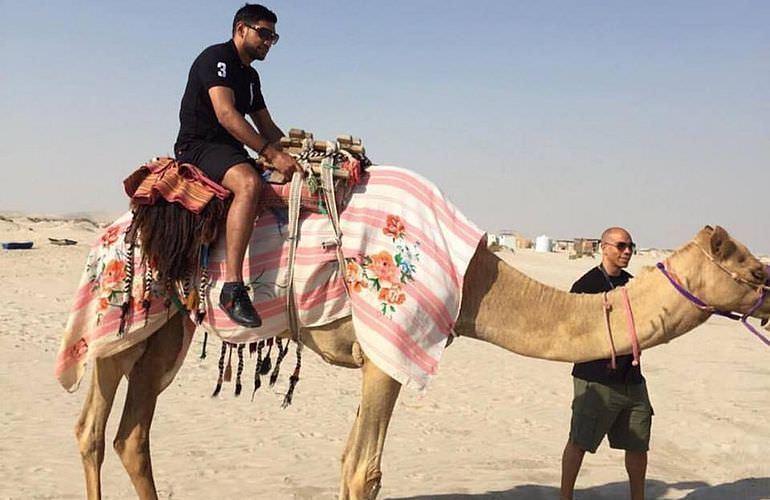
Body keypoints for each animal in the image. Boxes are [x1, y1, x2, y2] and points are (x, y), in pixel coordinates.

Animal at [73, 225, 768, 498]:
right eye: (754, 270)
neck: (475, 279)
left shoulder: (377, 360)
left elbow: (349, 461)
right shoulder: (391, 348)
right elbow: (367, 472)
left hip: (169, 331)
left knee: (132, 431)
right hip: (122, 312)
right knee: (92, 426)